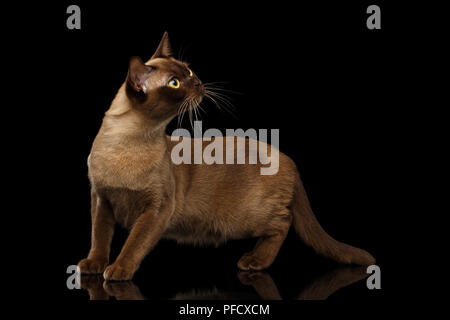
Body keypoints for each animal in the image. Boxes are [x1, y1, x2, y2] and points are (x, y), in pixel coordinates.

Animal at [78, 31, 376, 280]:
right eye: (174, 83)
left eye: (188, 70)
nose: (198, 82)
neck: (126, 144)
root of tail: (287, 157)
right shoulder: (101, 199)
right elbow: (99, 236)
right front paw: (94, 265)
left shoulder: (157, 208)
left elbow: (135, 243)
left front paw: (118, 270)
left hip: (244, 218)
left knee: (284, 221)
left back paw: (255, 261)